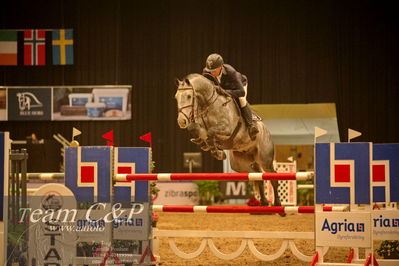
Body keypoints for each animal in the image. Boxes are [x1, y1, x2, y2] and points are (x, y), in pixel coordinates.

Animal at [175, 73, 282, 208]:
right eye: (176, 97)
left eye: (189, 96)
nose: (181, 121)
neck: (208, 104)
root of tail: (266, 130)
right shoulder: (200, 126)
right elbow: (195, 129)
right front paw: (206, 145)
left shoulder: (227, 129)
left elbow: (210, 133)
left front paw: (217, 151)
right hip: (240, 165)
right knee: (256, 175)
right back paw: (263, 202)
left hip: (265, 159)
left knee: (272, 176)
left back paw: (277, 204)